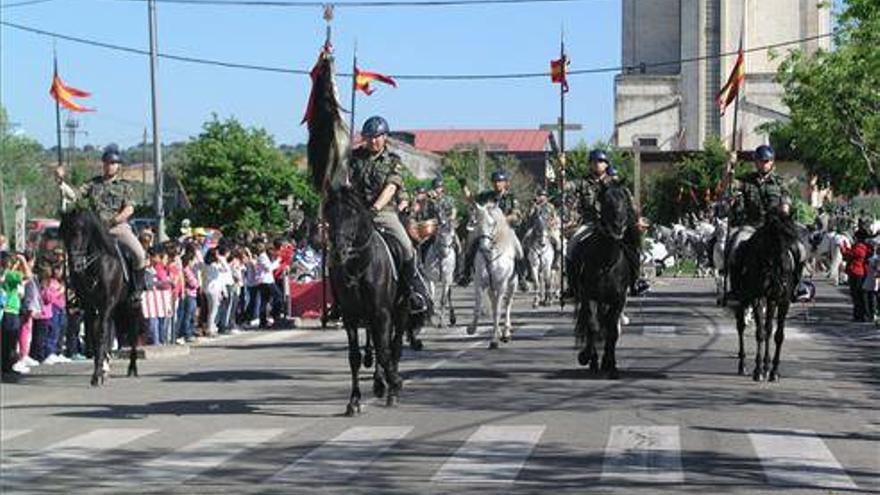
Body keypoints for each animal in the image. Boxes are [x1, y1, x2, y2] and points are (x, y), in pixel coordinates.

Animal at [59, 209, 139, 388]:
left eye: (80, 232)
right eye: (63, 233)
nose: (74, 265)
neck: (99, 266)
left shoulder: (106, 304)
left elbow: (102, 334)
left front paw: (97, 375)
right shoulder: (90, 306)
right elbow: (94, 337)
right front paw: (98, 372)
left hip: (129, 306)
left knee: (132, 333)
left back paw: (132, 368)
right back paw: (106, 367)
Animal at [468, 202, 524, 348]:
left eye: (492, 223)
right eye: (477, 222)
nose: (484, 247)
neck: (491, 256)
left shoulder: (501, 285)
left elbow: (499, 310)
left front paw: (494, 340)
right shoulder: (480, 283)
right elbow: (478, 305)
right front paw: (472, 328)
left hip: (512, 284)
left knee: (508, 304)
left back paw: (506, 332)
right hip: (490, 288)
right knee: (494, 305)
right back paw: (499, 331)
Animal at [572, 185, 640, 380]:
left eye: (624, 200)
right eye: (606, 202)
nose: (618, 226)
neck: (606, 261)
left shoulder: (618, 300)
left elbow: (612, 331)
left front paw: (611, 365)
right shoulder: (589, 297)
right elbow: (593, 326)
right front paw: (587, 357)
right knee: (592, 325)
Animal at [724, 211, 800, 382]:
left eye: (790, 239)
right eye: (775, 239)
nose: (784, 273)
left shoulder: (782, 301)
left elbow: (778, 335)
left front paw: (773, 371)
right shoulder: (757, 299)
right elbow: (759, 334)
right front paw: (758, 370)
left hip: (770, 300)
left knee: (768, 329)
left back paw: (766, 366)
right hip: (742, 298)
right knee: (741, 327)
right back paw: (743, 365)